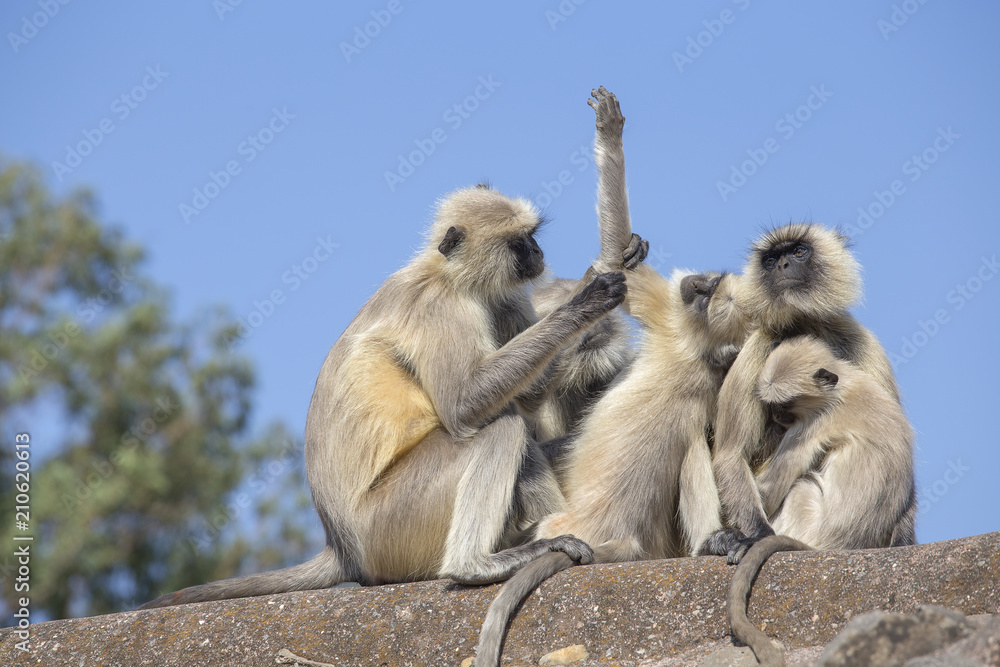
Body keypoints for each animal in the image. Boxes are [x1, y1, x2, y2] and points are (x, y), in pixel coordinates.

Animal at [139, 184, 630, 609]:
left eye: (532, 236)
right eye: (518, 243)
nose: (536, 253)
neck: (447, 275)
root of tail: (343, 546)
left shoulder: (497, 300)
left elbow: (524, 393)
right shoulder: (439, 307)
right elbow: (464, 406)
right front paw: (586, 301)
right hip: (394, 521)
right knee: (502, 428)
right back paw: (475, 566)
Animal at [472, 86, 753, 667]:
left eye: (706, 293)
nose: (698, 282)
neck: (698, 353)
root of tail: (614, 533)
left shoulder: (671, 324)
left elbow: (613, 246)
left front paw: (609, 130)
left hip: (556, 523)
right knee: (694, 444)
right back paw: (716, 541)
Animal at [699, 222, 913, 565]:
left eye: (798, 251)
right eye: (771, 260)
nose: (784, 266)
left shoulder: (858, 338)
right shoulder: (759, 345)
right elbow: (731, 454)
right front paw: (758, 537)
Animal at [726, 335, 916, 666]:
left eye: (784, 405)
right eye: (772, 406)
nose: (776, 417)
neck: (843, 389)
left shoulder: (811, 425)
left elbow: (770, 490)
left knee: (802, 484)